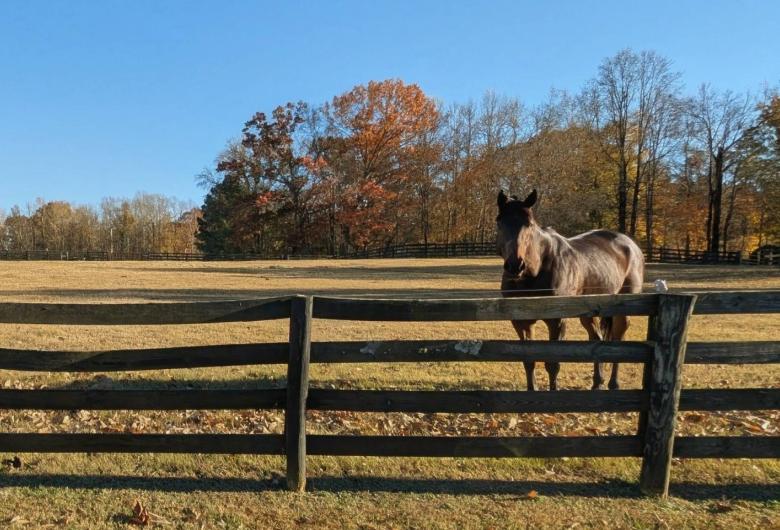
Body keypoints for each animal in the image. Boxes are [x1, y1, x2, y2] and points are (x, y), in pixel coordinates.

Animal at [496, 189, 645, 391]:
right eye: (499, 221)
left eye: (529, 224)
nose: (515, 266)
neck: (536, 270)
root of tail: (630, 245)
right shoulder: (520, 322)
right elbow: (528, 360)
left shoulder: (557, 321)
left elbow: (553, 363)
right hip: (589, 312)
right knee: (597, 338)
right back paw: (597, 383)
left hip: (622, 310)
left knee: (618, 340)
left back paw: (613, 384)